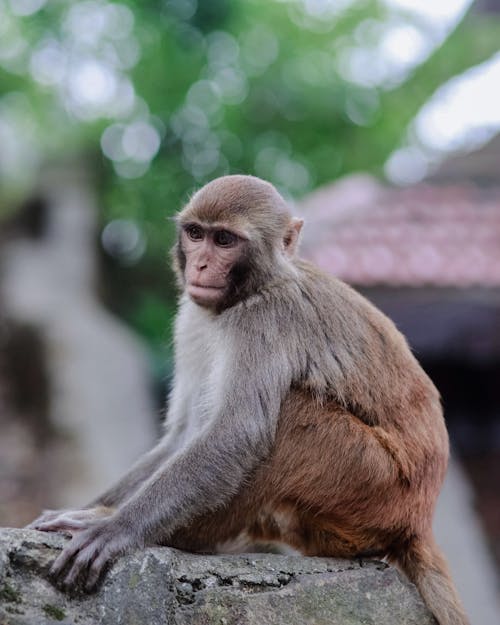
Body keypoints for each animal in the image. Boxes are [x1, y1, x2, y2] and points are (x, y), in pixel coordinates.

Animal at [30, 174, 468, 624]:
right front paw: (98, 508)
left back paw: (181, 537)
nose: (201, 266)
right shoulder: (193, 315)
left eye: (224, 240)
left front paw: (115, 528)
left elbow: (236, 433)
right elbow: (185, 434)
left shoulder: (265, 319)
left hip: (376, 484)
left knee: (289, 416)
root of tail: (418, 519)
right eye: (196, 234)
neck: (251, 290)